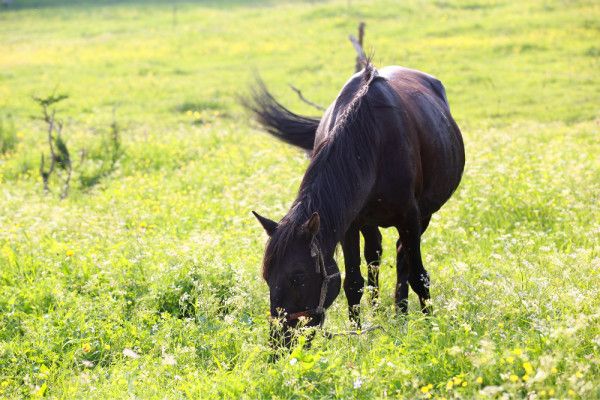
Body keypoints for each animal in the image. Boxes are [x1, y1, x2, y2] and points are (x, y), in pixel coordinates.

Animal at [243, 61, 464, 346]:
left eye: (298, 277)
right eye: (266, 277)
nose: (280, 341)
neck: (371, 141)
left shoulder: (411, 218)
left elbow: (419, 276)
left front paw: (430, 327)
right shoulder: (349, 226)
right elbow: (353, 282)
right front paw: (356, 335)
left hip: (421, 217)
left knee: (402, 255)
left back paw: (401, 311)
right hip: (369, 223)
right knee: (375, 254)